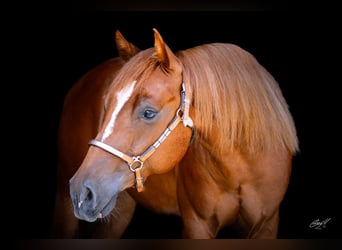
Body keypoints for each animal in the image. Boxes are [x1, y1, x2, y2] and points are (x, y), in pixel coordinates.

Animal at [62, 28, 298, 239]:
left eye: (148, 112)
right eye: (106, 105)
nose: (81, 192)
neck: (242, 168)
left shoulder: (266, 225)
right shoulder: (197, 225)